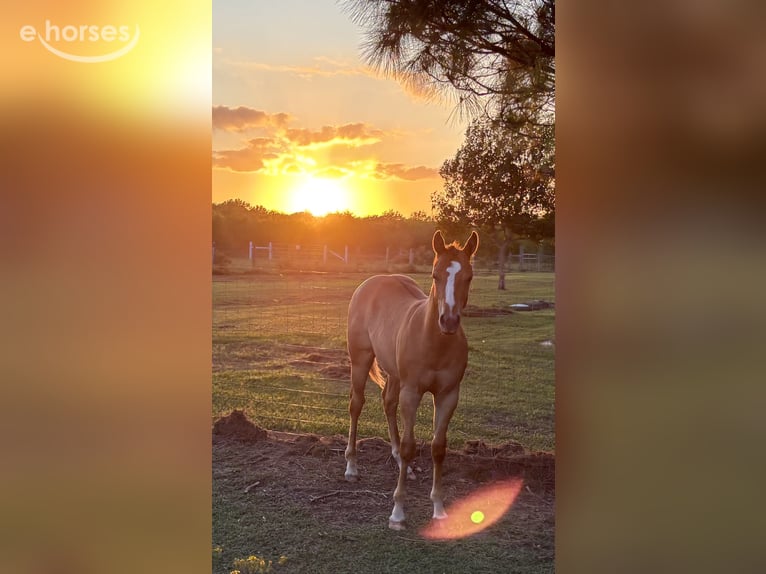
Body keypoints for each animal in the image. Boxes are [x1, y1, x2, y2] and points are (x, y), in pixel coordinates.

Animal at [344, 229, 479, 530]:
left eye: (468, 276)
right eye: (435, 274)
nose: (448, 321)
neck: (433, 342)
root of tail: (372, 281)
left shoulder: (448, 395)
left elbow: (438, 447)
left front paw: (439, 508)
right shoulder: (412, 393)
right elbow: (409, 446)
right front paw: (397, 512)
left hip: (395, 375)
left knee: (387, 403)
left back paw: (398, 463)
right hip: (360, 361)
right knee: (356, 405)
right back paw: (351, 466)